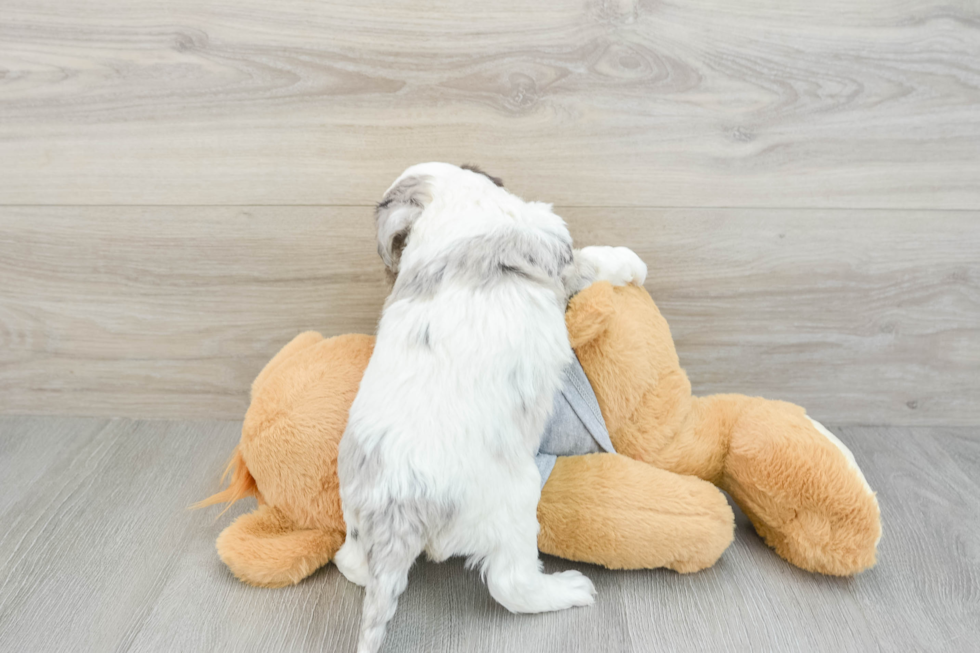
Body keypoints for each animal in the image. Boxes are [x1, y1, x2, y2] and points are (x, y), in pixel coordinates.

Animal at [336, 162, 652, 652]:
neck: (451, 201)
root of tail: (398, 507)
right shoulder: (555, 249)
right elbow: (594, 260)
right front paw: (631, 263)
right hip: (515, 502)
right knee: (511, 585)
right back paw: (568, 589)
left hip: (353, 513)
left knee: (349, 563)